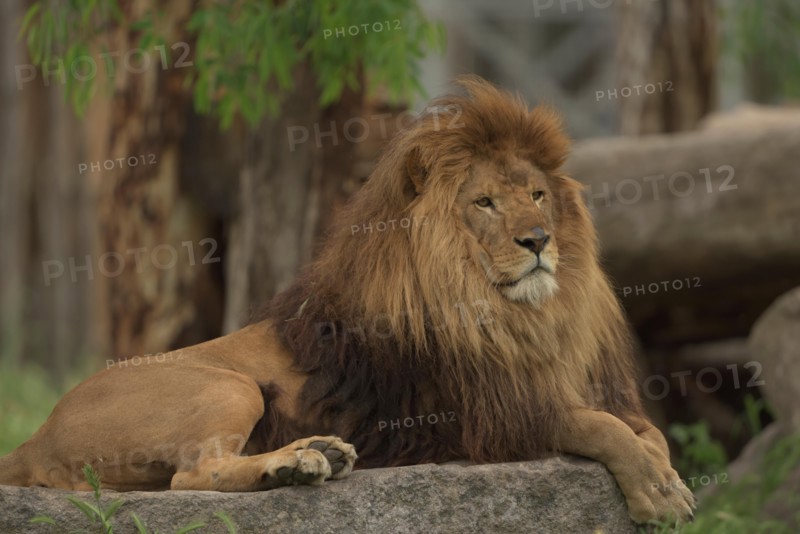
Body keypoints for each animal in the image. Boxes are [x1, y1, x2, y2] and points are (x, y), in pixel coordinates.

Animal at [0, 76, 694, 524]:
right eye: (485, 203)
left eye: (538, 195)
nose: (540, 241)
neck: (515, 314)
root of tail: (35, 437)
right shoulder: (490, 415)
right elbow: (601, 427)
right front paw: (657, 493)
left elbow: (647, 429)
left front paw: (670, 479)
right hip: (228, 386)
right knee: (191, 476)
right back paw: (297, 463)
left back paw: (316, 456)